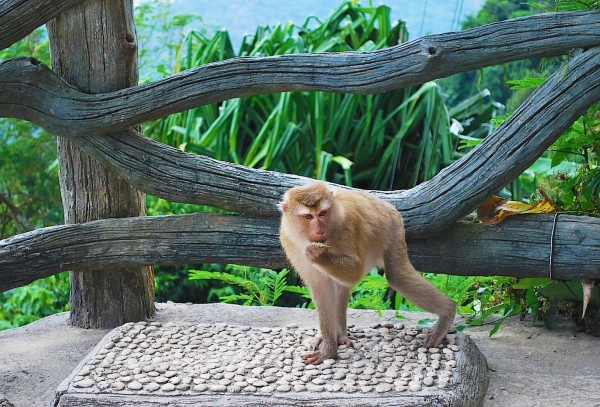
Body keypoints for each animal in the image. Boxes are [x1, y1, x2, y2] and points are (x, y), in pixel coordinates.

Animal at [278, 182, 458, 366]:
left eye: (322, 213)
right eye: (308, 217)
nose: (319, 229)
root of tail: (386, 204)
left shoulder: (348, 225)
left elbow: (354, 272)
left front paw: (319, 255)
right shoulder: (288, 240)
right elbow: (321, 289)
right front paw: (328, 349)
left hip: (393, 227)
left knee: (397, 276)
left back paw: (447, 312)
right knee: (341, 286)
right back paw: (339, 334)